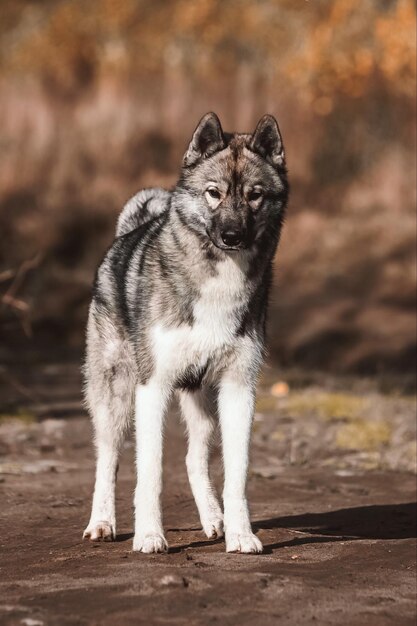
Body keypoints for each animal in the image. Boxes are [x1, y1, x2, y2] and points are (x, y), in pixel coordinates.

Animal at [83, 112, 288, 552]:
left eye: (255, 195)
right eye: (213, 193)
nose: (232, 236)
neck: (219, 283)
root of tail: (127, 233)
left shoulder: (239, 389)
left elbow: (237, 475)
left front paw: (241, 535)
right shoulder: (153, 388)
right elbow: (150, 471)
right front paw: (148, 536)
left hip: (203, 403)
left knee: (194, 459)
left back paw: (215, 521)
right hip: (116, 397)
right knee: (108, 459)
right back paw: (102, 523)